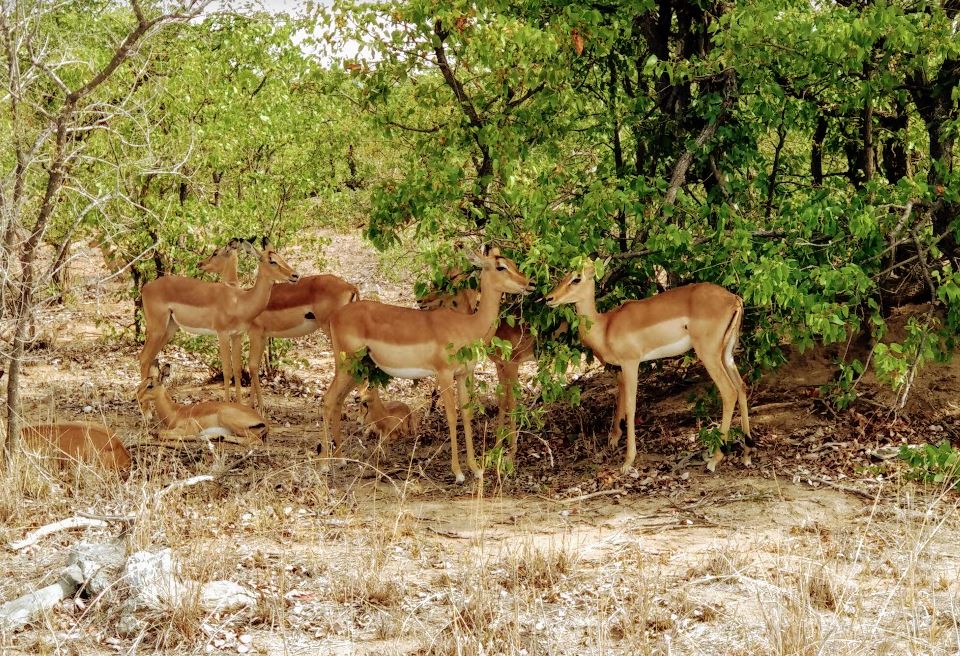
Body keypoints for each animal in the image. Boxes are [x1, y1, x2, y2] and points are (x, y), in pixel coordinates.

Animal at [137, 236, 298, 400]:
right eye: (272, 261)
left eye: (281, 258)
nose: (295, 275)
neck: (239, 301)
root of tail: (145, 287)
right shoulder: (222, 334)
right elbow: (227, 370)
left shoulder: (237, 335)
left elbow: (237, 370)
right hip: (156, 330)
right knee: (143, 358)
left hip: (169, 329)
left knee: (149, 359)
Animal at [199, 238, 360, 408]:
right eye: (273, 259)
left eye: (215, 252)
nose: (200, 264)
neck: (242, 299)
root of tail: (351, 287)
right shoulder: (262, 336)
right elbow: (255, 366)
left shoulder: (254, 333)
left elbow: (252, 366)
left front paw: (259, 408)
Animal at [320, 246, 532, 482]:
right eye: (500, 266)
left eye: (513, 263)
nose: (529, 284)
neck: (467, 326)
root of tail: (335, 316)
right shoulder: (444, 374)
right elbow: (452, 416)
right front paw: (458, 473)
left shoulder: (462, 374)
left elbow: (466, 414)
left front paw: (476, 469)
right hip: (346, 364)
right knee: (328, 399)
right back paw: (324, 465)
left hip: (356, 368)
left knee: (338, 401)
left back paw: (340, 460)